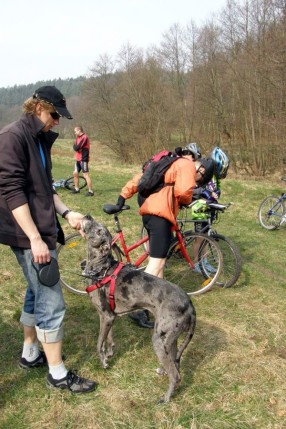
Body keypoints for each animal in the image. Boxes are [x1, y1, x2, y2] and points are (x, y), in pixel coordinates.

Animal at [80, 216, 197, 402]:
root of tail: (190, 306)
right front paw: (109, 355)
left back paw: (165, 398)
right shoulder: (109, 317)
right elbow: (109, 340)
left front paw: (103, 362)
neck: (101, 268)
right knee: (175, 362)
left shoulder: (106, 316)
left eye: (99, 230)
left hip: (159, 339)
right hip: (170, 339)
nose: (88, 216)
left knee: (176, 375)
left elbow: (99, 344)